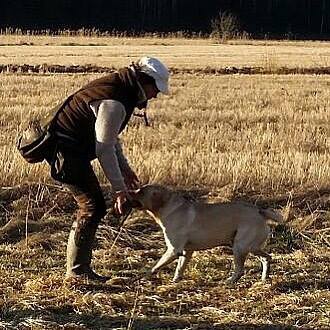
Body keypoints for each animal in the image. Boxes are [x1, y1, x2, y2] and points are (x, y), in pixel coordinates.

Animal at [128, 184, 282, 282]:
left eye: (141, 191)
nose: (128, 191)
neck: (168, 208)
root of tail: (259, 211)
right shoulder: (186, 251)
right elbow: (179, 268)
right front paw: (175, 281)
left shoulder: (173, 250)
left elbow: (154, 267)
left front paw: (144, 276)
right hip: (251, 247)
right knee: (267, 258)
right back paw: (264, 278)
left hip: (240, 247)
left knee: (240, 269)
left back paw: (230, 281)